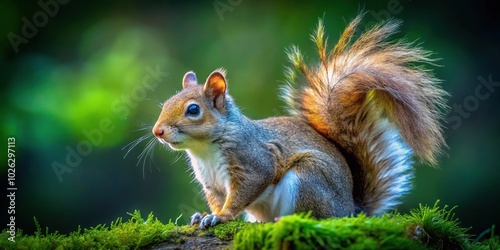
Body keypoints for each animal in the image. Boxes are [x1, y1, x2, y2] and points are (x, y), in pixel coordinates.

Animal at [150, 14, 448, 229]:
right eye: (166, 103)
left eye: (193, 110)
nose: (157, 131)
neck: (205, 149)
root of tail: (349, 209)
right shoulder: (211, 183)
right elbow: (216, 200)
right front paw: (204, 215)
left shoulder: (252, 162)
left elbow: (243, 193)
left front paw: (221, 216)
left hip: (308, 179)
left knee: (313, 215)